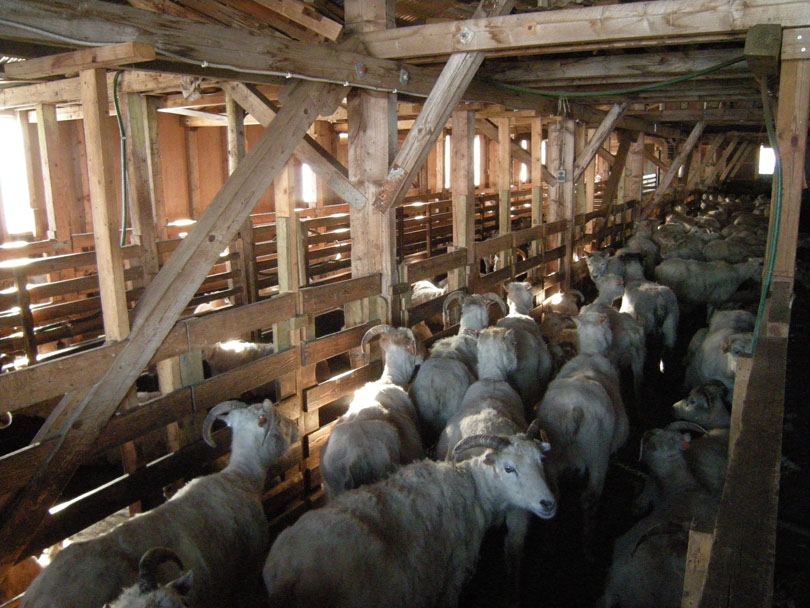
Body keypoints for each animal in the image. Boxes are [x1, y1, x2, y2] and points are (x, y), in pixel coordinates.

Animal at [262, 430, 552, 604]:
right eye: (508, 468)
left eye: (541, 461)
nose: (548, 503)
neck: (474, 487)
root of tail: (287, 570)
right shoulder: (452, 575)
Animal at [536, 312, 624, 544]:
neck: (591, 355)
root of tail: (574, 411)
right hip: (598, 453)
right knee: (589, 498)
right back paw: (588, 544)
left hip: (551, 455)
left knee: (554, 497)